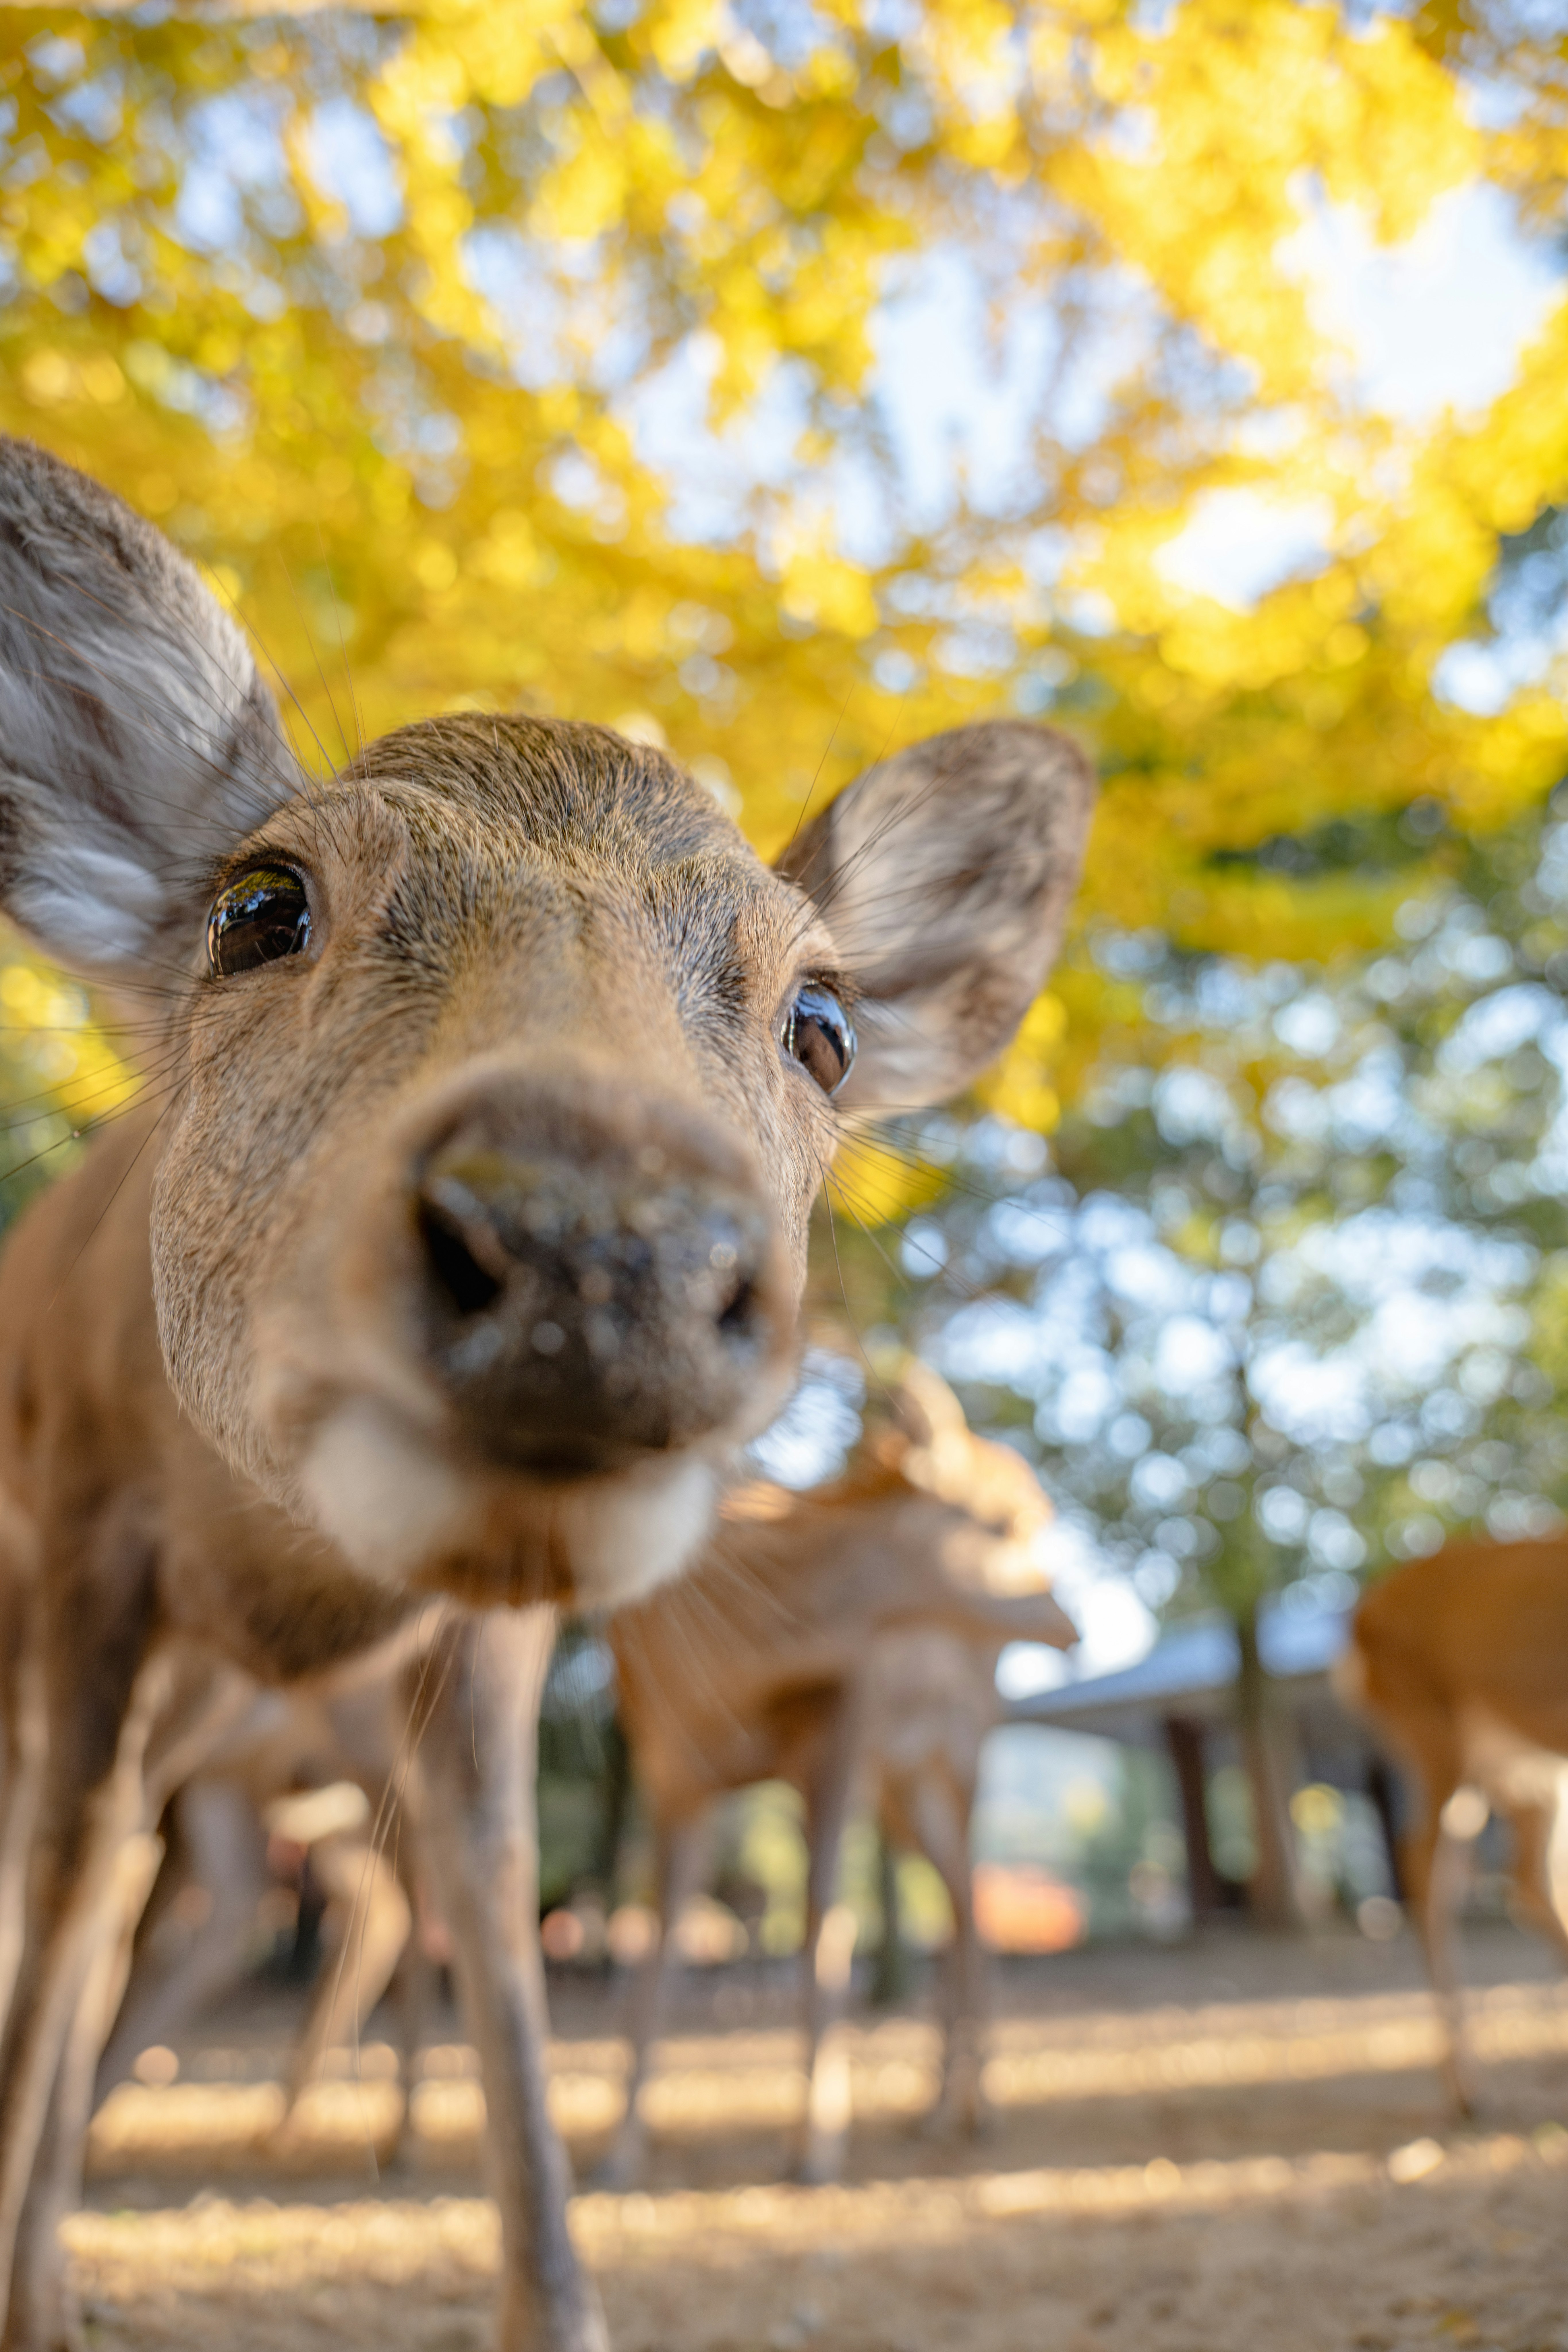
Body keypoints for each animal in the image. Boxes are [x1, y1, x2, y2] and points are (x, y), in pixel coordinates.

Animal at [601, 1360, 1077, 2186]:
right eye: (1004, 1522)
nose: (1070, 1623)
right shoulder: (670, 1772)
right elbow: (660, 1940)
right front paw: (622, 2146)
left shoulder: (840, 1737)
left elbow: (825, 1920)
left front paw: (814, 2146)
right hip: (901, 1787)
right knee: (955, 1898)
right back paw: (937, 2110)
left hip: (958, 1750)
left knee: (966, 1895)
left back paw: (977, 2112)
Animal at [1339, 1534, 1568, 2115]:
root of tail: (1356, 1625)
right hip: (1434, 1733)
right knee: (1425, 1866)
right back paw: (1467, 2089)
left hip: (1514, 1763)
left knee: (1525, 1875)